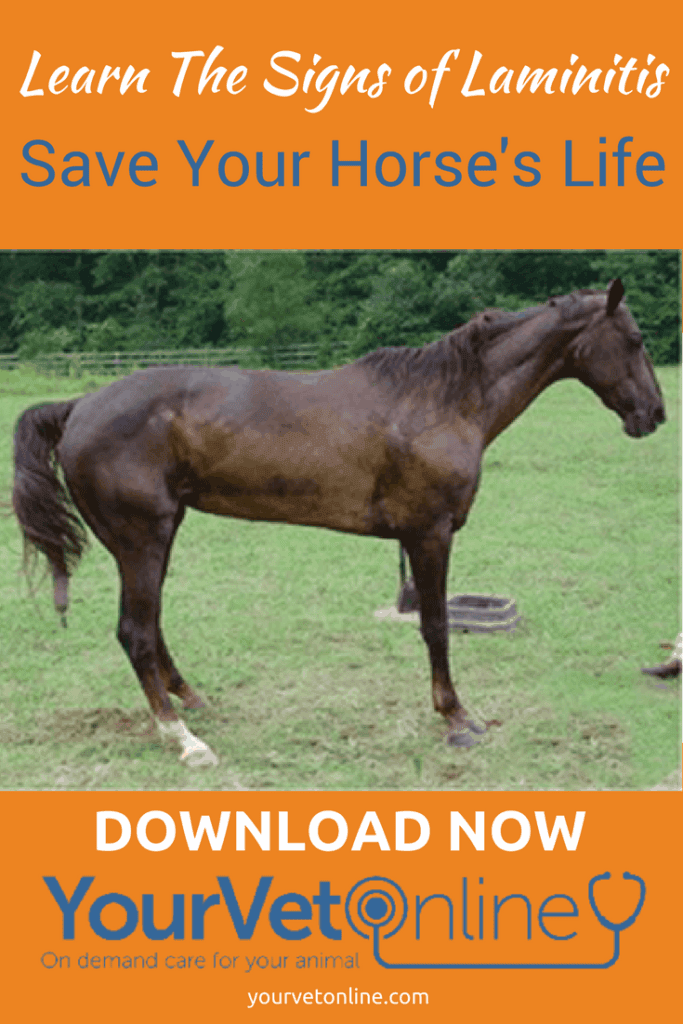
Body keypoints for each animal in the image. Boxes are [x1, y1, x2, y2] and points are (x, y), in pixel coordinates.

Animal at [12, 279, 666, 765]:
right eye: (634, 339)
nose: (654, 414)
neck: (443, 399)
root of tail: (80, 406)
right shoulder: (429, 534)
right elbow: (435, 627)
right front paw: (456, 718)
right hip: (142, 540)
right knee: (136, 633)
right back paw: (185, 740)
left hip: (156, 539)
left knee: (150, 626)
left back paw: (192, 701)